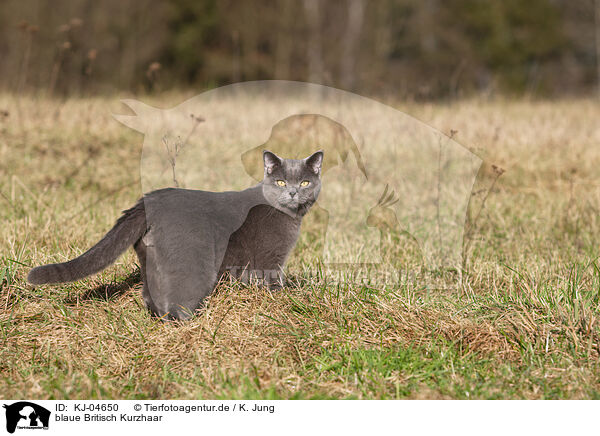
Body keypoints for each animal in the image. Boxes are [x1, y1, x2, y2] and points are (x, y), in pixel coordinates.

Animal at [28, 150, 324, 320]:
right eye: (282, 182)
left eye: (305, 182)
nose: (293, 192)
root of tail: (149, 200)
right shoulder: (270, 260)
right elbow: (273, 282)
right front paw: (280, 302)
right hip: (193, 264)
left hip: (151, 258)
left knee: (151, 294)